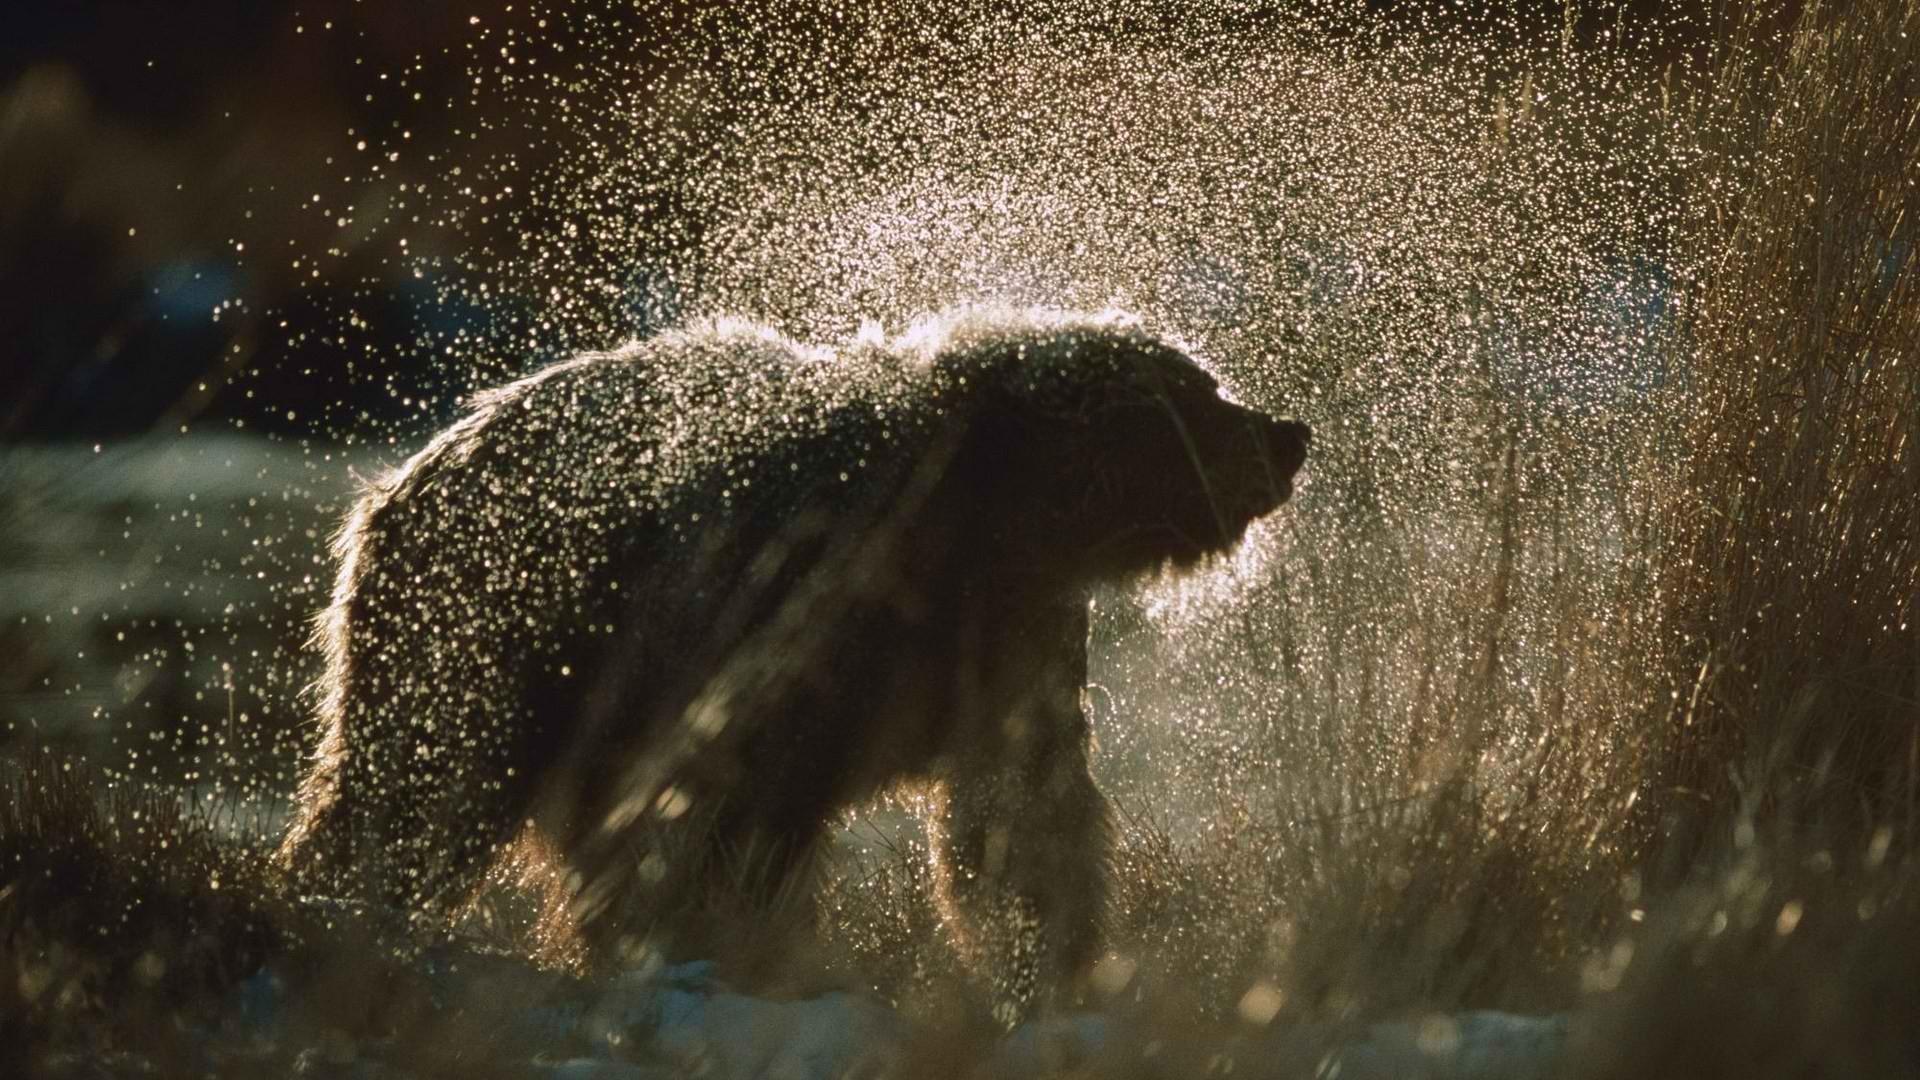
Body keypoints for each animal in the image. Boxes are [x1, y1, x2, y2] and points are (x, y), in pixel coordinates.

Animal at [276, 307, 1309, 1016]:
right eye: (1201, 394)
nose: (1288, 434)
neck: (985, 519)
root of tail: (394, 480)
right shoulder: (794, 608)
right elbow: (742, 814)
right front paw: (739, 951)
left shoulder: (1013, 631)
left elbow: (1022, 807)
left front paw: (1054, 966)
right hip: (493, 629)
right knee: (417, 786)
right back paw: (339, 906)